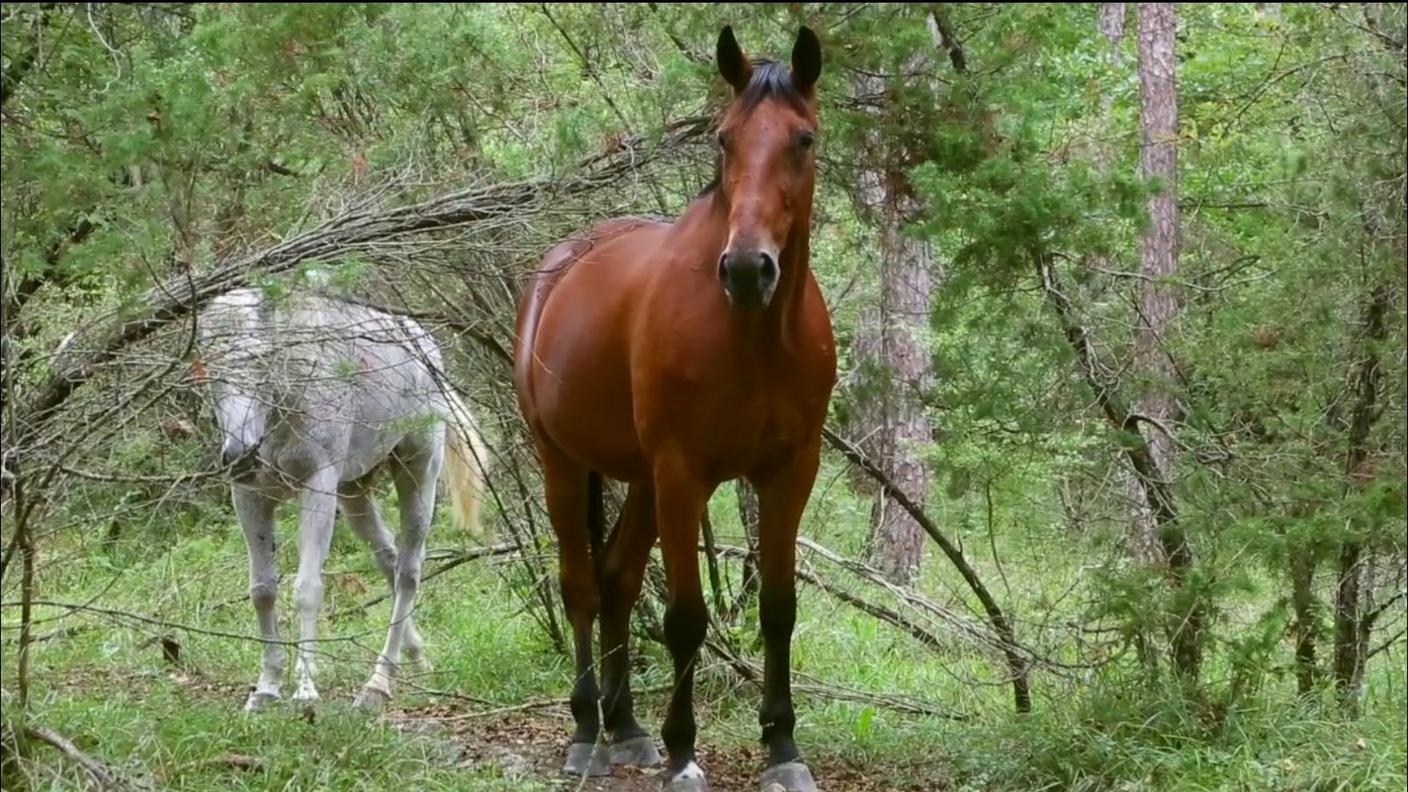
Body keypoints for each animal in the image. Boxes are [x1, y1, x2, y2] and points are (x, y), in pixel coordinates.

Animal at [196, 286, 490, 712]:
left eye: (260, 361)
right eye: (212, 370)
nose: (240, 454)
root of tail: (426, 346)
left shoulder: (318, 487)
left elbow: (307, 589)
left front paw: (305, 689)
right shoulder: (249, 497)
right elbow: (263, 591)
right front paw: (266, 688)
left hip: (418, 473)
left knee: (408, 572)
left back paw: (377, 684)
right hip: (354, 494)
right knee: (389, 561)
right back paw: (416, 660)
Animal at [513, 25, 834, 792]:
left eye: (803, 139)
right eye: (724, 138)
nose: (747, 269)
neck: (753, 334)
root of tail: (558, 268)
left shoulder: (790, 471)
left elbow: (779, 608)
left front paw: (782, 748)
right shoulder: (685, 472)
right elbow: (686, 617)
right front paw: (686, 752)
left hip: (641, 480)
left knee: (618, 580)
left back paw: (627, 728)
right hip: (564, 463)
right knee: (581, 586)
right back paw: (587, 731)